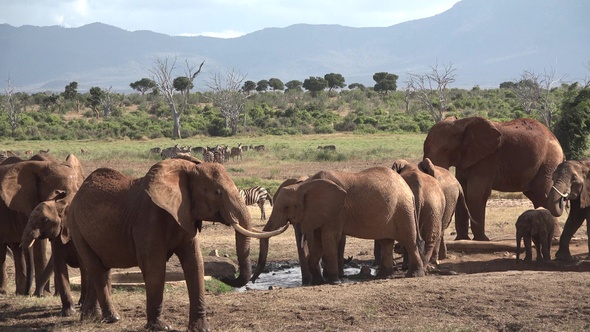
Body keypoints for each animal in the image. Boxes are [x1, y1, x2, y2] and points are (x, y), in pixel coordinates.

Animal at [0, 154, 85, 296]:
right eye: (58, 193)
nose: (30, 294)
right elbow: (39, 245)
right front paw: (44, 294)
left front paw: (55, 294)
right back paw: (7, 292)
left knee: (17, 248)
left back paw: (20, 292)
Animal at [67, 156, 290, 332]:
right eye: (217, 192)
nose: (226, 276)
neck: (187, 170)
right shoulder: (148, 219)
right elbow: (155, 267)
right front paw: (160, 327)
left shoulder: (186, 215)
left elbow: (195, 263)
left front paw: (201, 328)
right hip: (76, 227)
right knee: (97, 269)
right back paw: (112, 318)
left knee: (100, 269)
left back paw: (91, 318)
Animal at [254, 166, 426, 286]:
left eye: (286, 208)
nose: (252, 280)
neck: (304, 185)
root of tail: (408, 189)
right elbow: (318, 242)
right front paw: (318, 281)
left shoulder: (337, 210)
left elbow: (328, 238)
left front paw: (333, 281)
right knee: (386, 242)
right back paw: (383, 275)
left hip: (403, 209)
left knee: (409, 240)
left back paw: (414, 275)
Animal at [424, 116, 568, 241]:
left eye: (446, 149)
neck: (462, 123)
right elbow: (463, 191)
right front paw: (462, 239)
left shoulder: (488, 158)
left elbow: (476, 194)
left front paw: (481, 239)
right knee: (537, 196)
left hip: (549, 162)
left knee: (543, 194)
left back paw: (554, 238)